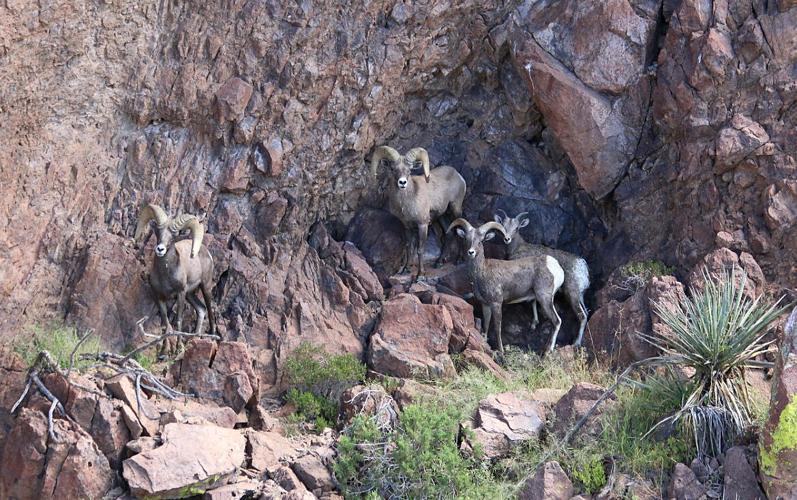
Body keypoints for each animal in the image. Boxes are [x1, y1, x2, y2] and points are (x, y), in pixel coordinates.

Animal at [134, 203, 217, 356]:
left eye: (173, 235)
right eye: (158, 231)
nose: (160, 249)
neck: (165, 276)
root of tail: (206, 252)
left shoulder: (180, 293)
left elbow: (178, 320)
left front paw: (178, 349)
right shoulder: (160, 296)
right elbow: (165, 323)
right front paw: (163, 353)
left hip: (205, 287)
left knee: (209, 311)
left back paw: (212, 338)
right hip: (190, 294)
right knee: (201, 309)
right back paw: (193, 340)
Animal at [371, 145, 466, 280]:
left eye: (410, 170)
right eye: (393, 169)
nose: (402, 183)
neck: (406, 203)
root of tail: (458, 176)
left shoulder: (422, 225)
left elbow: (420, 250)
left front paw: (420, 275)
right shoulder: (408, 227)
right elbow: (409, 247)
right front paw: (405, 270)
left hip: (455, 209)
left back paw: (459, 260)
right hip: (441, 216)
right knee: (448, 234)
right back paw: (438, 263)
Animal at [447, 218, 564, 355]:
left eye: (481, 241)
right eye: (466, 239)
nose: (471, 252)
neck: (481, 273)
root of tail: (555, 266)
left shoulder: (496, 304)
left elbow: (497, 327)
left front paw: (501, 350)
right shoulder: (485, 305)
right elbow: (486, 325)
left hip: (544, 298)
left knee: (557, 321)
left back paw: (547, 351)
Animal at [494, 209, 590, 346]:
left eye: (516, 228)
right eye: (503, 226)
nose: (507, 239)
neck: (517, 247)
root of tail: (582, 265)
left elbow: (532, 301)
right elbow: (534, 301)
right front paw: (535, 323)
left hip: (572, 294)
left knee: (581, 316)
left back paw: (576, 343)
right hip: (580, 296)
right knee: (586, 314)